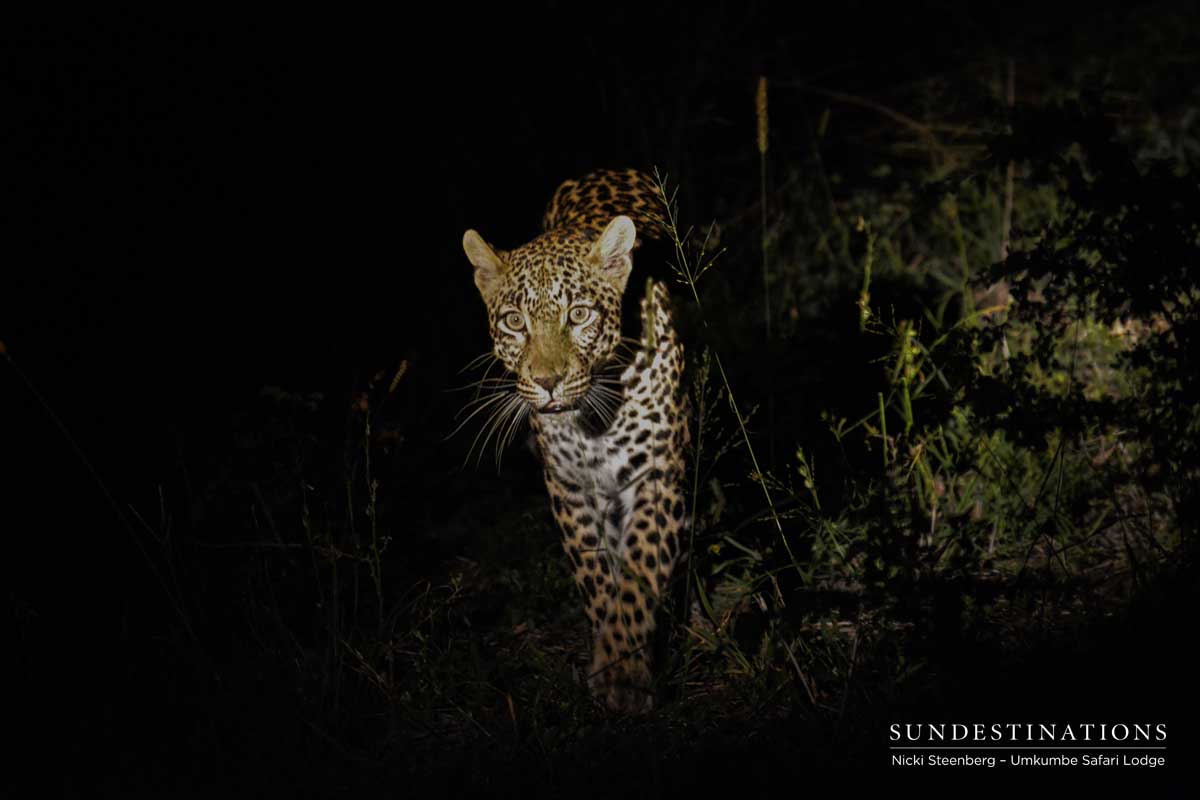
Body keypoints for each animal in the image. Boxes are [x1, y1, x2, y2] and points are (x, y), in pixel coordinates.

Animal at [461, 168, 689, 713]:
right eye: (514, 322)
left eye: (580, 315)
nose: (547, 382)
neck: (592, 423)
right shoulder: (570, 488)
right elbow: (597, 578)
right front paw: (610, 659)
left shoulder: (657, 474)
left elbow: (640, 571)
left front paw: (623, 674)